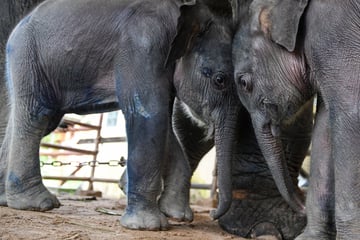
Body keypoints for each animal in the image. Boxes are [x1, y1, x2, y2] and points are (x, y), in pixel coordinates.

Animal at [0, 0, 239, 232]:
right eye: (220, 80)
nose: (212, 213)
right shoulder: (143, 47)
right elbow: (150, 116)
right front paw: (148, 226)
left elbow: (165, 127)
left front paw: (177, 215)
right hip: (27, 56)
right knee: (38, 115)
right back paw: (38, 203)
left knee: (34, 119)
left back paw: (6, 200)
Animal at [232, 0, 360, 239]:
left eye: (243, 83)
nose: (300, 205)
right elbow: (325, 128)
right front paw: (309, 237)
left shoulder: (333, 33)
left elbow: (350, 114)